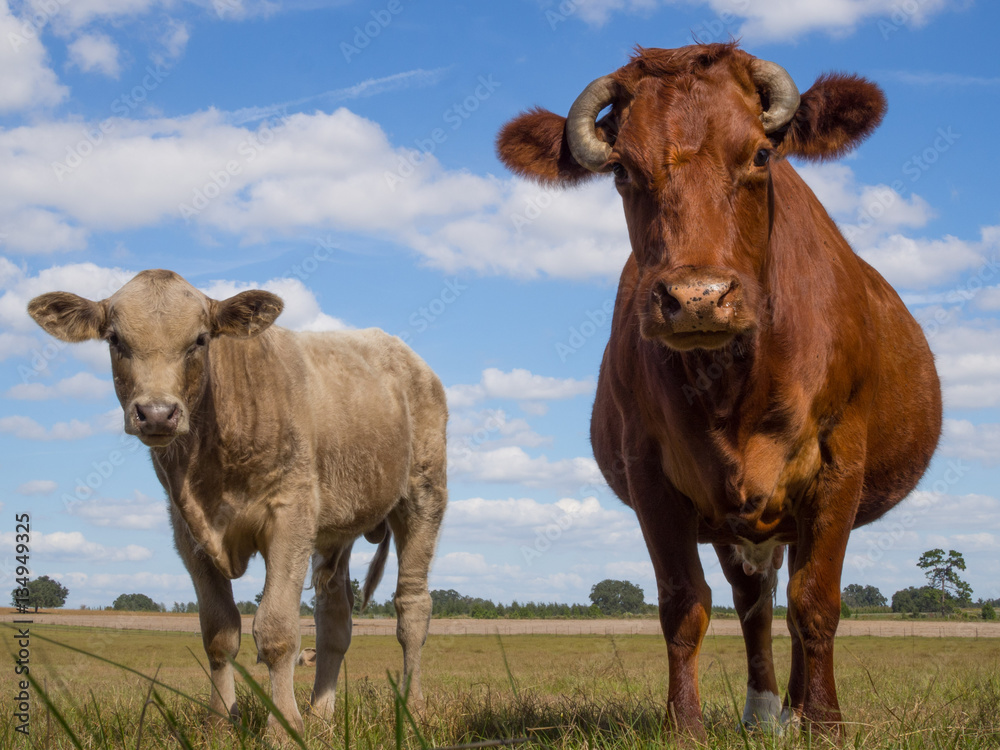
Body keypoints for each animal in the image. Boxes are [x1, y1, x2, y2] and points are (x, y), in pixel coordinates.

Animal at [27, 272, 450, 740]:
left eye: (199, 340)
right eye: (115, 339)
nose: (156, 413)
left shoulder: (290, 516)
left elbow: (277, 630)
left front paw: (283, 727)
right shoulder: (188, 533)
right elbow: (219, 632)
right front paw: (218, 722)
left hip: (424, 494)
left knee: (412, 609)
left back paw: (411, 710)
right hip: (335, 532)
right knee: (334, 619)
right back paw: (321, 717)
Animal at [500, 42, 944, 740]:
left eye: (761, 155)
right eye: (622, 170)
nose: (696, 298)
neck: (732, 386)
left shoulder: (839, 462)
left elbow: (818, 602)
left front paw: (825, 724)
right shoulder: (649, 470)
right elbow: (685, 603)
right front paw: (684, 725)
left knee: (791, 600)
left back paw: (795, 709)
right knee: (753, 603)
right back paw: (763, 712)